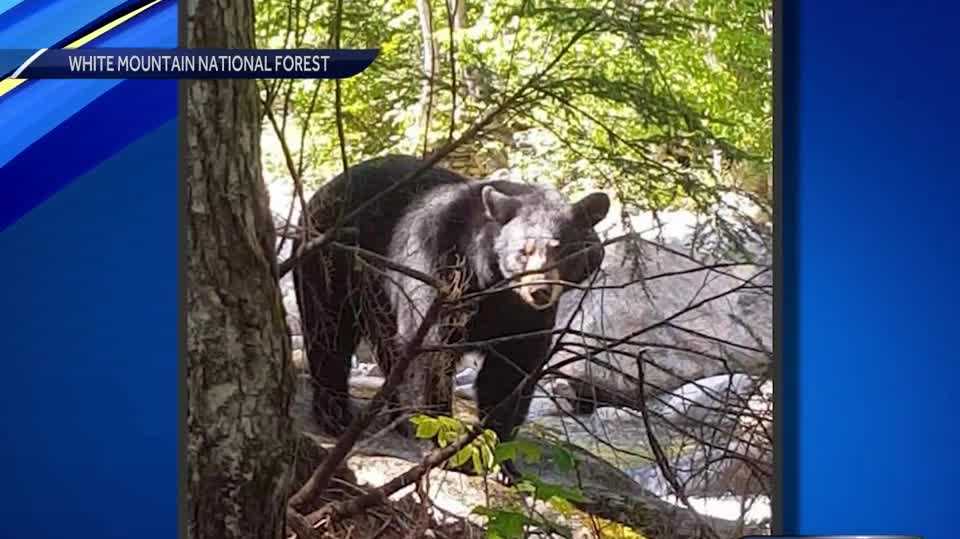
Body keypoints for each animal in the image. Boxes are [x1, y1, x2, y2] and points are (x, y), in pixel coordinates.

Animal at [292, 155, 610, 444]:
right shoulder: (441, 267)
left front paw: (499, 446)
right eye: (523, 251)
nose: (539, 290)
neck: (493, 285)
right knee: (330, 331)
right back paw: (335, 413)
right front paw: (439, 434)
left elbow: (512, 369)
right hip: (333, 261)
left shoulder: (527, 316)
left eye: (562, 249)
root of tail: (324, 190)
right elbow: (431, 352)